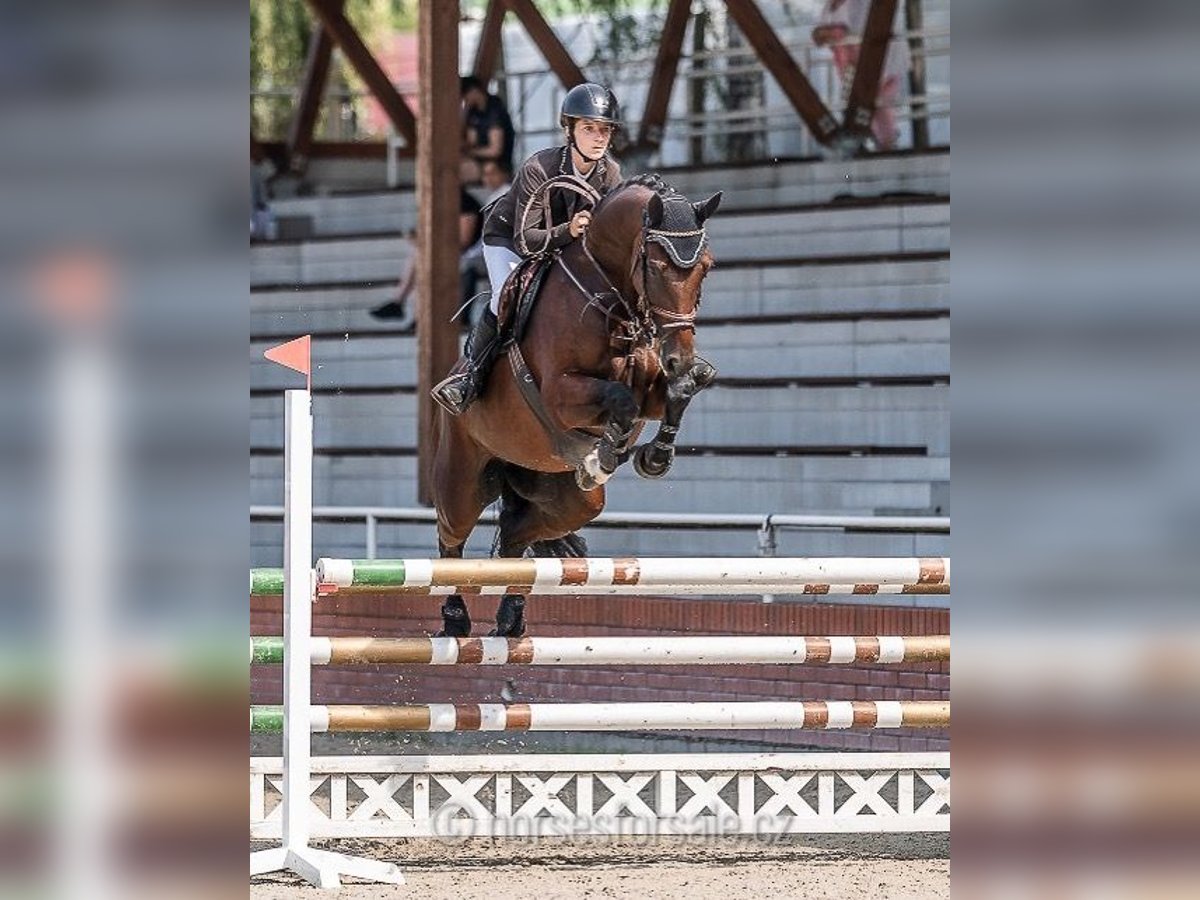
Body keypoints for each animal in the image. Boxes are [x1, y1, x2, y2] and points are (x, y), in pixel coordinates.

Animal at [436, 172, 724, 638]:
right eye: (656, 266)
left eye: (706, 267)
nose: (677, 355)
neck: (610, 298)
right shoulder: (560, 394)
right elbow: (619, 399)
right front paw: (603, 456)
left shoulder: (655, 388)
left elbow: (683, 389)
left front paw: (652, 457)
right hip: (462, 477)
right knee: (451, 540)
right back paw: (455, 620)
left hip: (565, 498)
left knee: (516, 534)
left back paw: (510, 620)